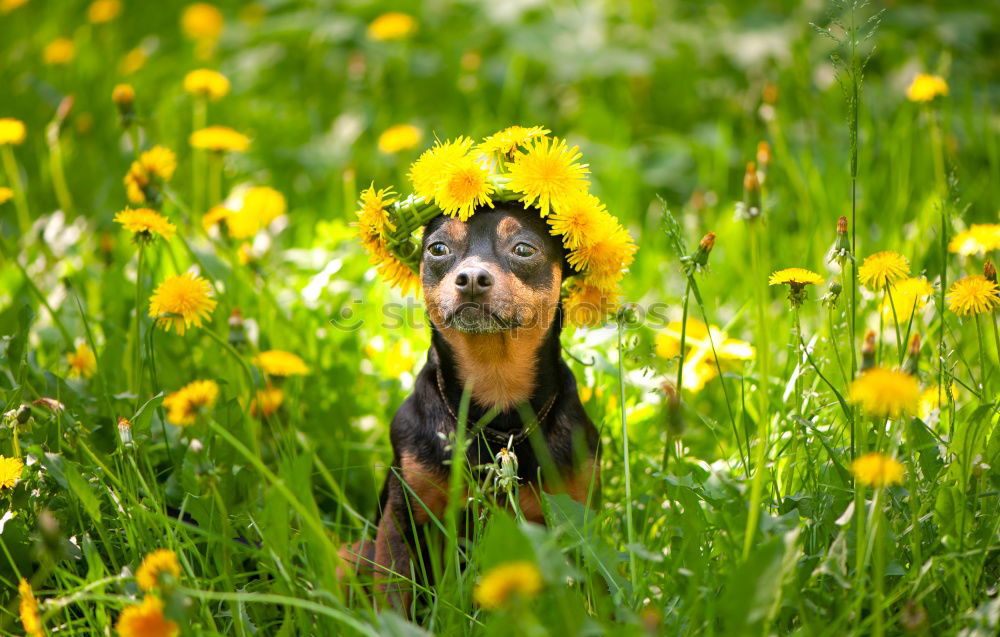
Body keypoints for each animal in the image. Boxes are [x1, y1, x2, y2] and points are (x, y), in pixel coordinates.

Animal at [340, 201, 596, 608]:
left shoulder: (577, 517)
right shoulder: (403, 520)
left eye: (524, 249)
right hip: (351, 553)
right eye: (438, 249)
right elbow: (395, 598)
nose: (472, 277)